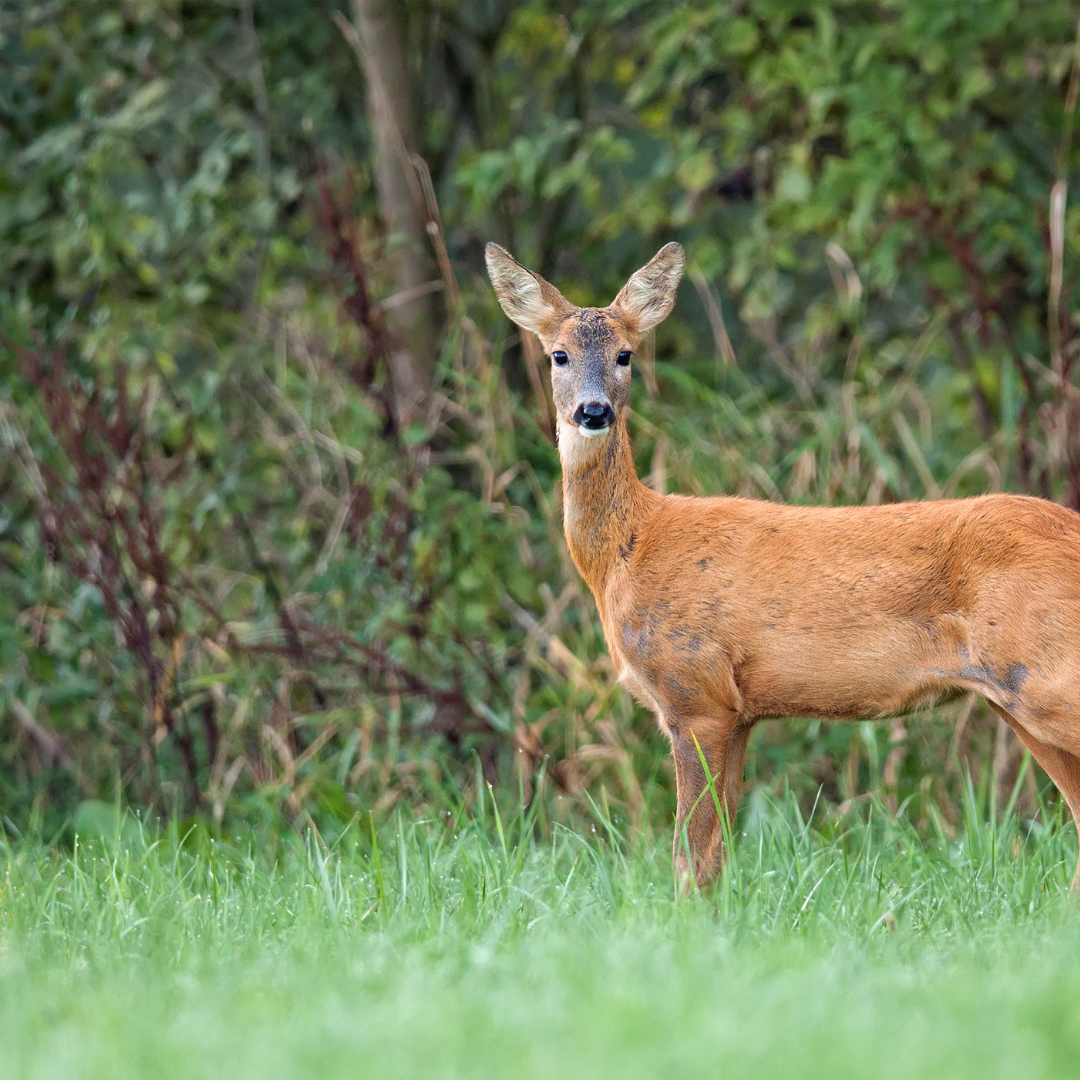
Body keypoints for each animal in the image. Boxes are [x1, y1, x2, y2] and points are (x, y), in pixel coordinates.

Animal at [490, 240, 1080, 889]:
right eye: (559, 355)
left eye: (625, 354)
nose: (593, 411)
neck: (631, 548)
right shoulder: (739, 711)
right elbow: (716, 853)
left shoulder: (695, 692)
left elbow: (688, 853)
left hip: (1045, 672)